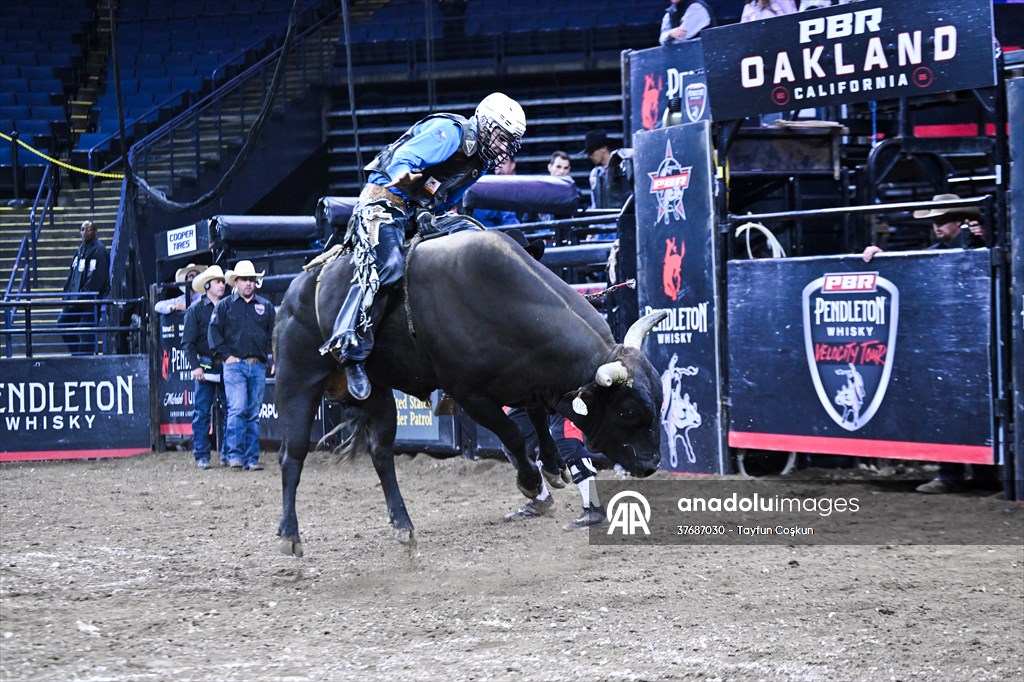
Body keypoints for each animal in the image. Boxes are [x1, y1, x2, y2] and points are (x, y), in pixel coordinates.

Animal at [273, 227, 667, 557]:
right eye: (628, 411)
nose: (651, 464)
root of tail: (294, 291)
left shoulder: (530, 382)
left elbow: (539, 423)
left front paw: (554, 466)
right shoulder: (469, 394)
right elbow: (513, 435)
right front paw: (529, 481)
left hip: (376, 391)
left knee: (381, 452)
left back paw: (403, 525)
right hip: (297, 380)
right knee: (292, 453)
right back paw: (290, 535)